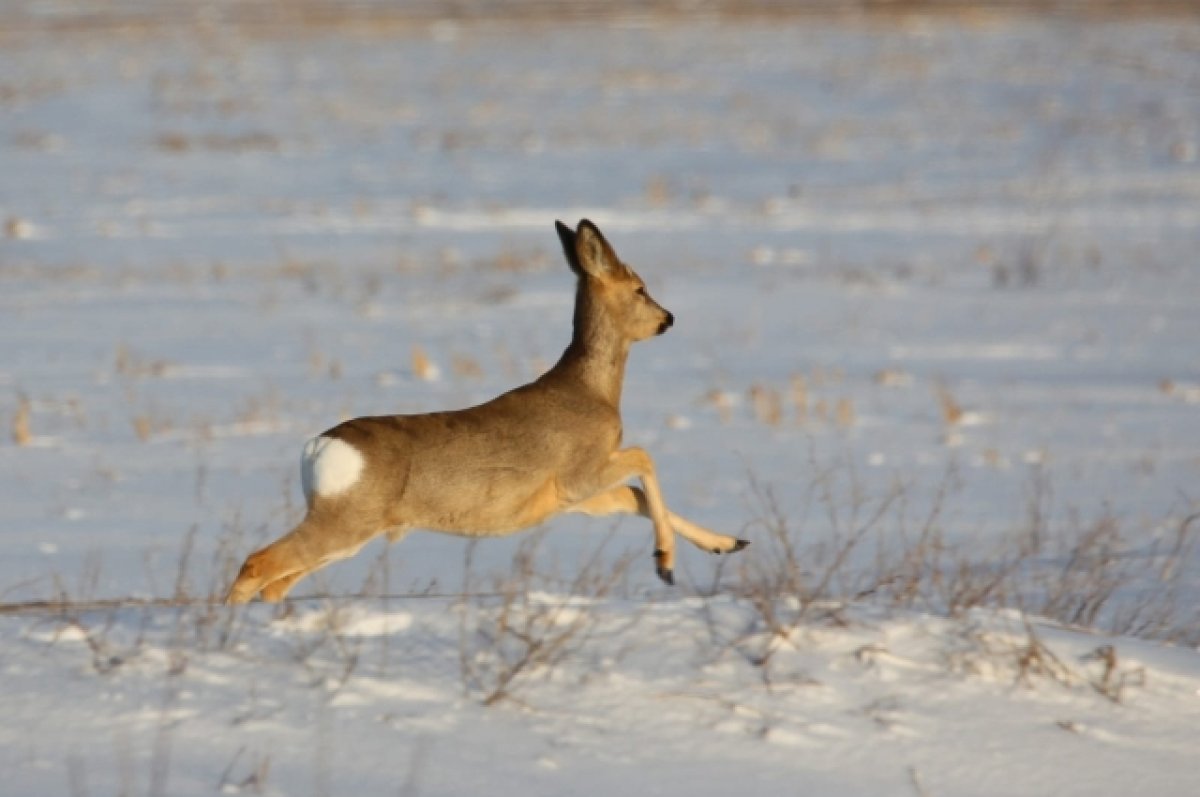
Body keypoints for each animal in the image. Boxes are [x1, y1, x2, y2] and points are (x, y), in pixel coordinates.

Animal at [225, 218, 744, 604]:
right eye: (639, 288)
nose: (667, 318)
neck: (590, 391)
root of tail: (317, 447)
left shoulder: (567, 495)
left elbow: (631, 498)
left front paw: (728, 543)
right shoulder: (579, 472)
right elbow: (643, 460)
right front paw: (666, 562)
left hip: (349, 530)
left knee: (276, 582)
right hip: (345, 521)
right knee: (258, 563)